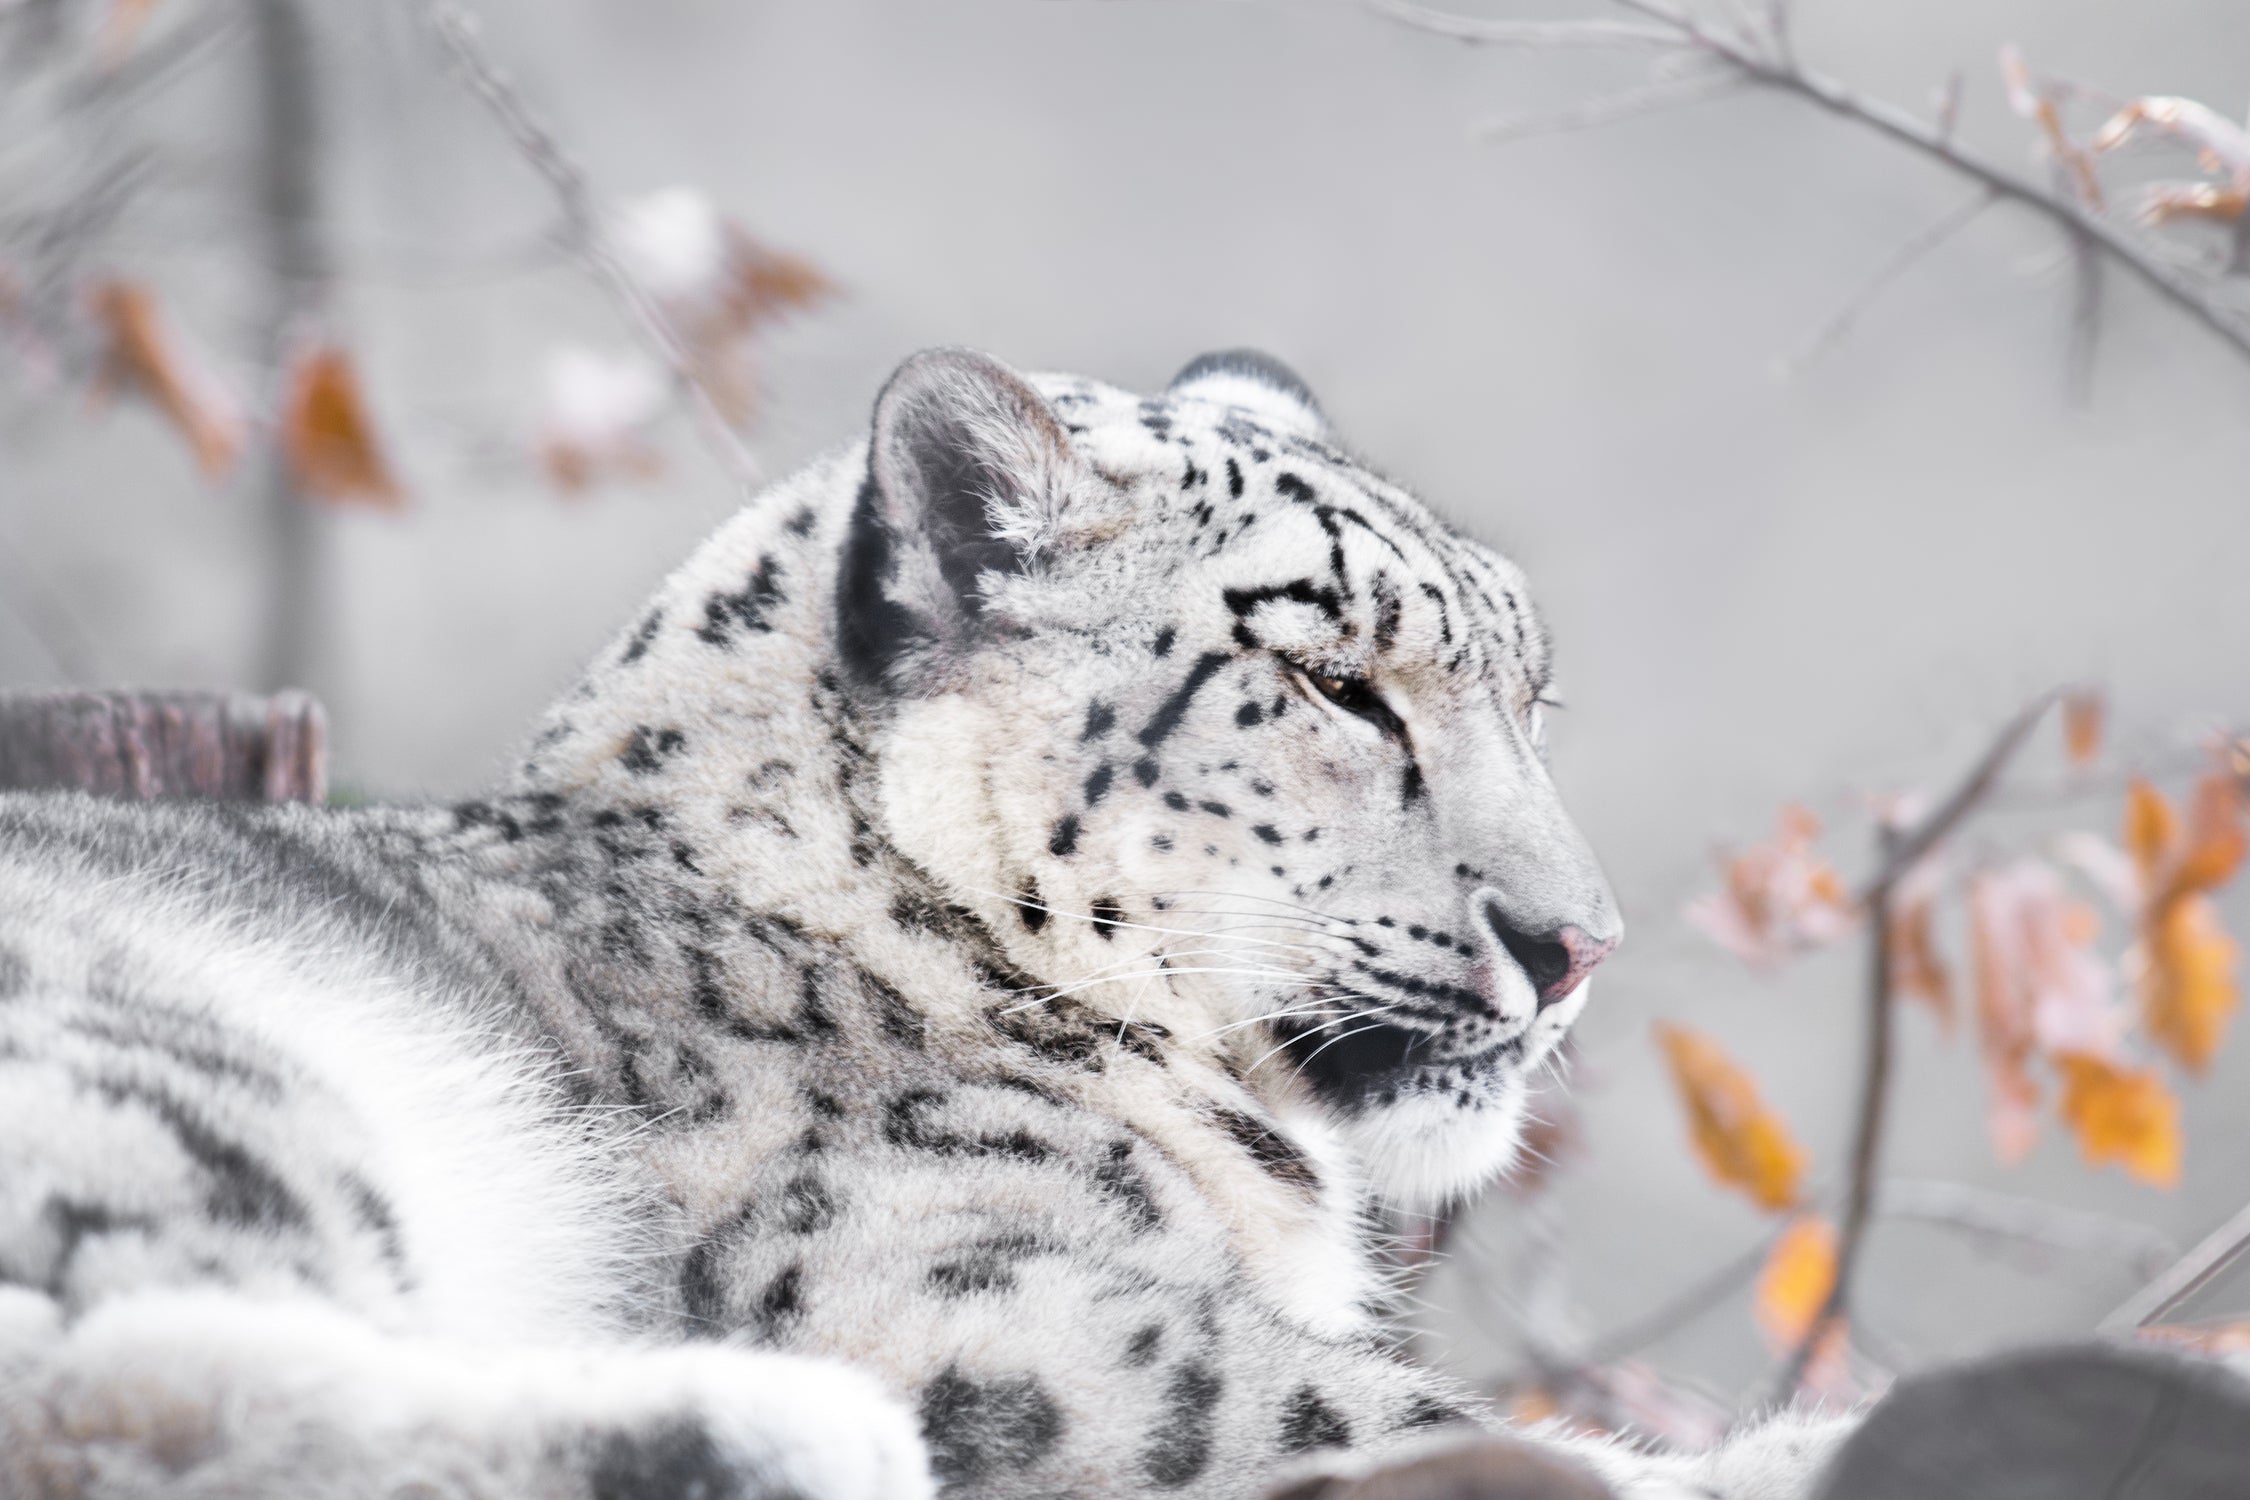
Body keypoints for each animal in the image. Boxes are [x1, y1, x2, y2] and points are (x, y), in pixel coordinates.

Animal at [0, 348, 1852, 1500]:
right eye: (1335, 678)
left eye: (1534, 696)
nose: (1574, 944)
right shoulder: (977, 1302)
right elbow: (1305, 1399)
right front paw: (1779, 1449)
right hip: (192, 1065)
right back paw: (770, 1432)